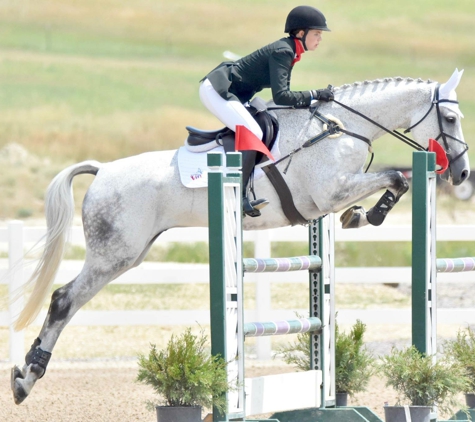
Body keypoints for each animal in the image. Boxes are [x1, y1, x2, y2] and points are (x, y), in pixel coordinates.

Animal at [10, 69, 468, 402]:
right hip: (115, 254)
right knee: (63, 300)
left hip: (131, 252)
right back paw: (26, 377)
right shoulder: (330, 191)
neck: (343, 127)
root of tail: (103, 169)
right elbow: (396, 176)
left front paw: (361, 215)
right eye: (449, 119)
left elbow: (394, 180)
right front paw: (368, 214)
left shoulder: (332, 196)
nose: (462, 173)